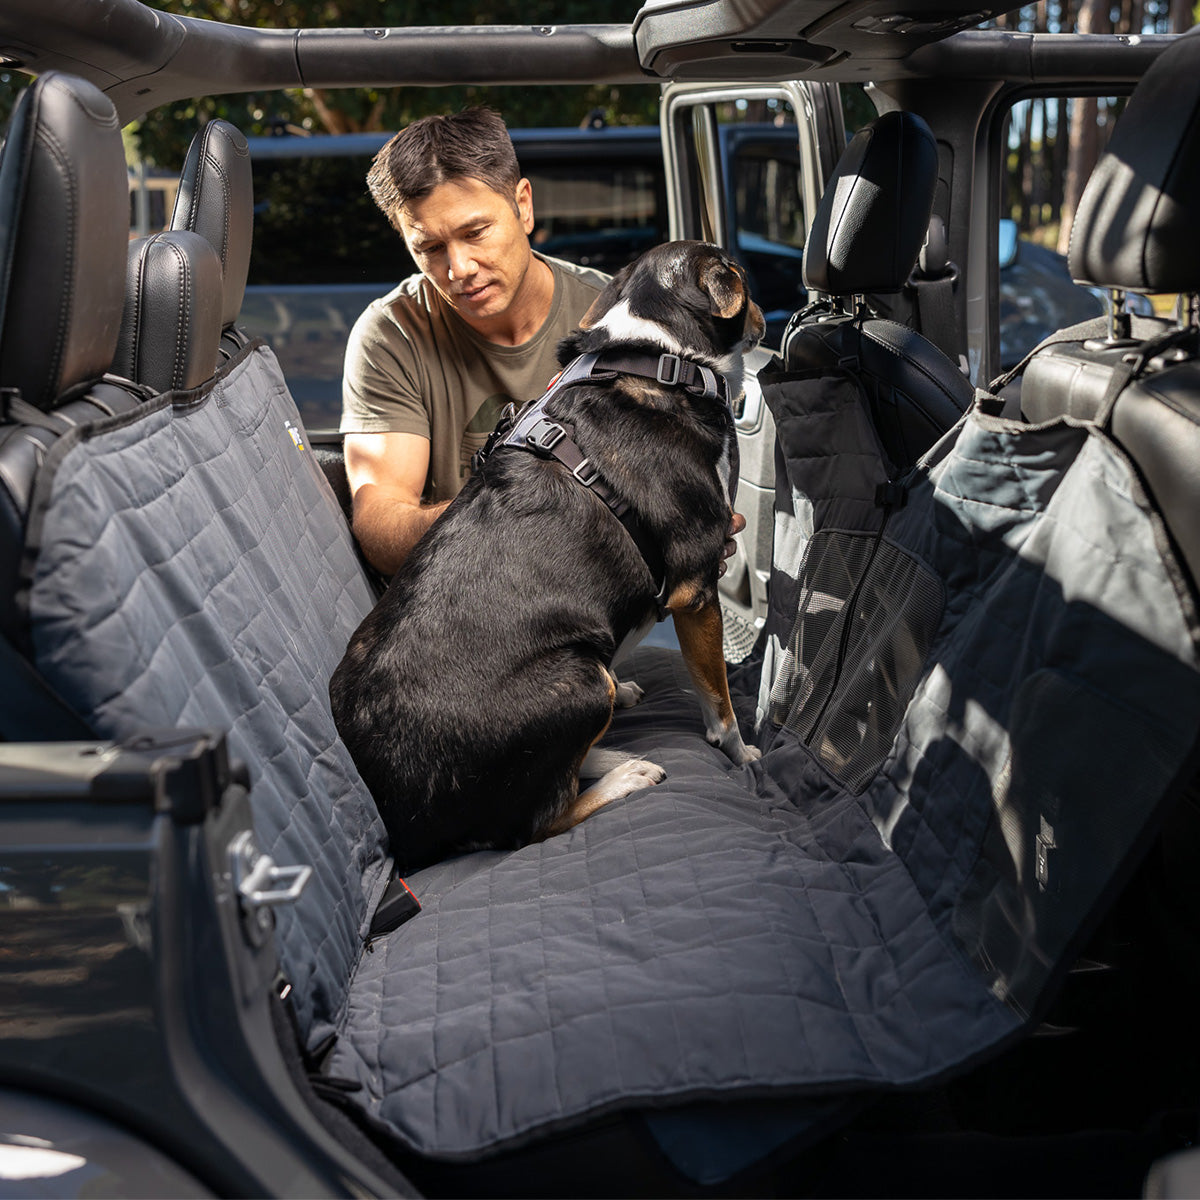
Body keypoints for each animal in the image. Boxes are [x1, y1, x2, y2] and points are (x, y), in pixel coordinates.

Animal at [331, 238, 758, 868]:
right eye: (743, 278)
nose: (763, 320)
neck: (660, 357)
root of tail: (403, 819)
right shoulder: (698, 589)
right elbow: (719, 704)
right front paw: (743, 754)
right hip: (578, 681)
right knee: (536, 823)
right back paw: (626, 775)